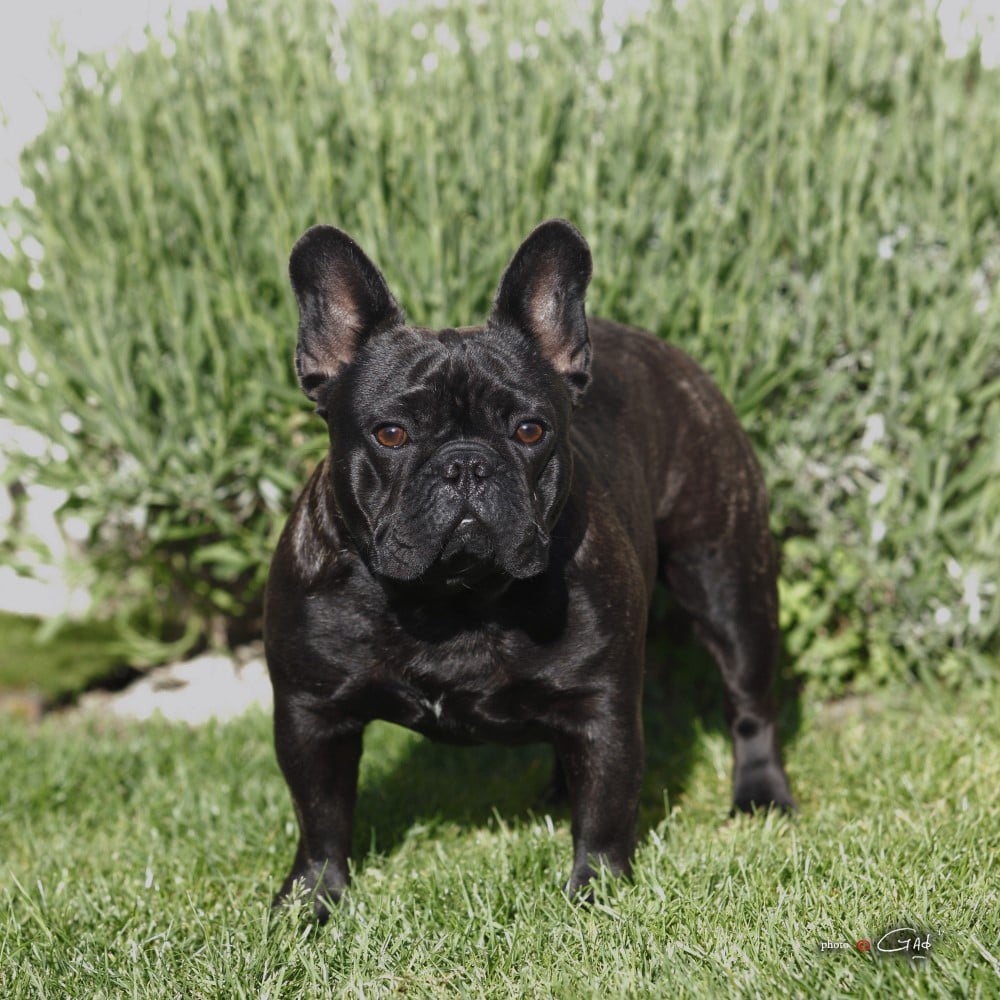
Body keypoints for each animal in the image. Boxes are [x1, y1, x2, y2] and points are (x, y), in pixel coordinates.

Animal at [262, 221, 792, 920]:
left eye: (530, 430)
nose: (465, 463)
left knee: (749, 703)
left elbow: (606, 810)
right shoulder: (312, 713)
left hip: (729, 584)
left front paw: (596, 896)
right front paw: (312, 902)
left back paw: (761, 798)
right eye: (392, 434)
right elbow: (320, 817)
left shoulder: (602, 706)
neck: (451, 598)